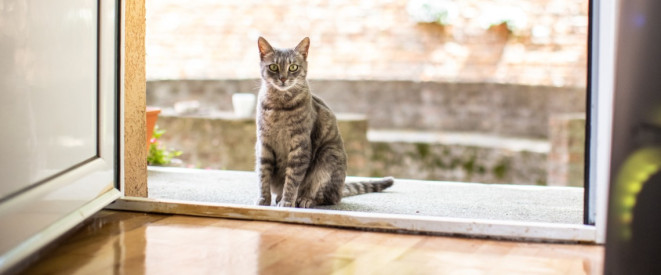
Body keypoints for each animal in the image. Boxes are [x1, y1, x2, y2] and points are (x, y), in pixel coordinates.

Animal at [255, 37, 394, 209]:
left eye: (293, 67)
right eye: (273, 67)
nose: (283, 78)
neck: (279, 106)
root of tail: (340, 189)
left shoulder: (300, 145)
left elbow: (292, 179)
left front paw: (287, 202)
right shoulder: (264, 144)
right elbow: (263, 175)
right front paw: (264, 199)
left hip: (328, 156)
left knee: (328, 197)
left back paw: (305, 199)